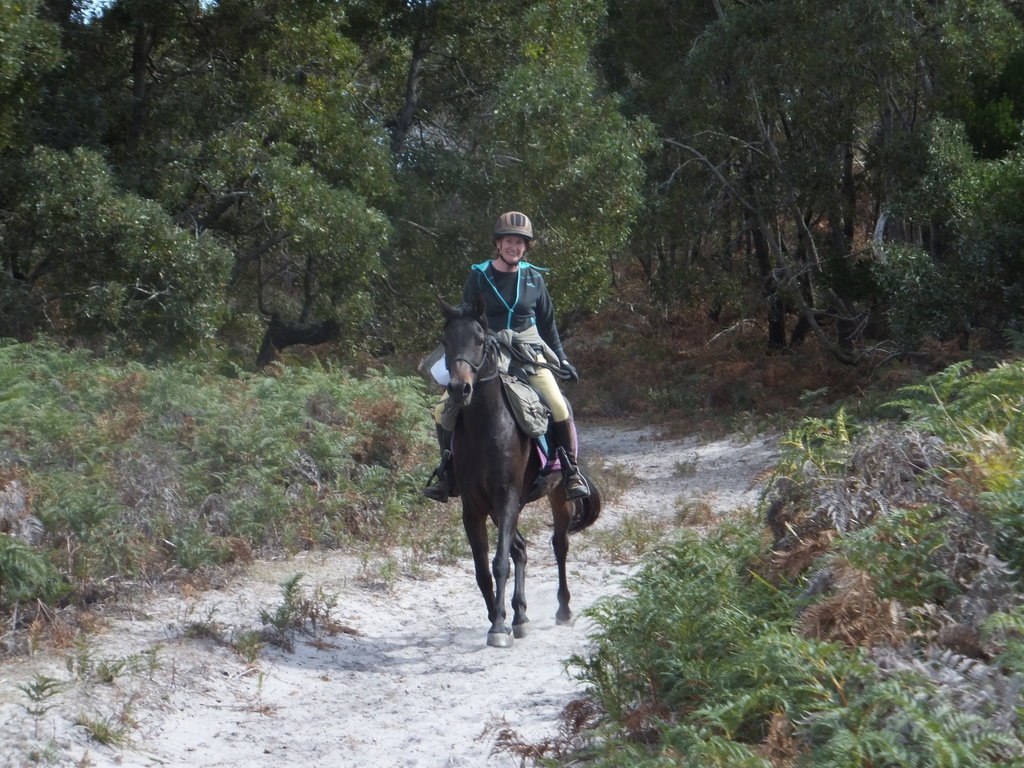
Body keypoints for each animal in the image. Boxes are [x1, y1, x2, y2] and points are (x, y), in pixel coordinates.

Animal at [440, 297, 601, 648]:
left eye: (480, 340)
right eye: (446, 341)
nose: (459, 389)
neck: (486, 427)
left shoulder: (507, 498)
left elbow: (499, 563)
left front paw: (499, 628)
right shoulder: (474, 508)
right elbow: (482, 570)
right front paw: (497, 617)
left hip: (556, 496)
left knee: (558, 545)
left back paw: (562, 610)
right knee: (521, 549)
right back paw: (521, 615)